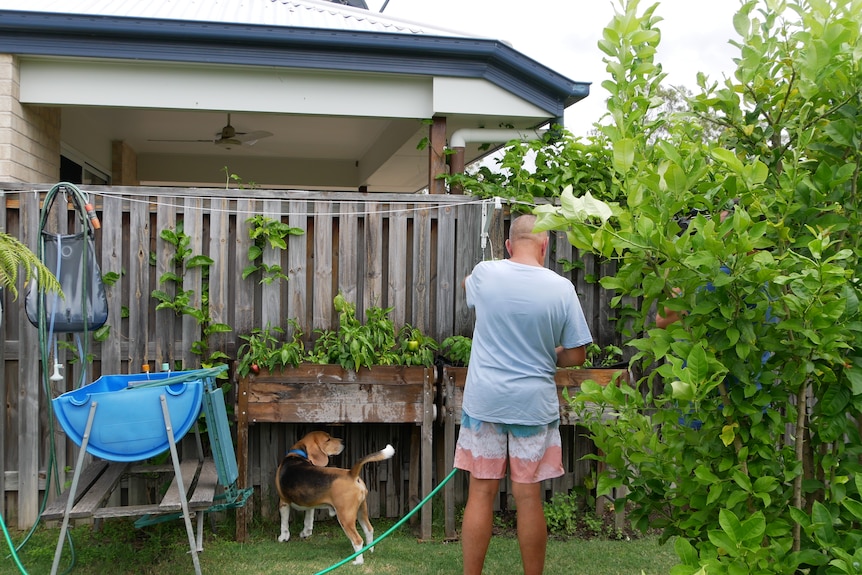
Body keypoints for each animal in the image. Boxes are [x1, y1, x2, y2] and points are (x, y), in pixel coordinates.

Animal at [276, 430, 394, 564]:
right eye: (328, 439)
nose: (343, 441)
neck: (298, 454)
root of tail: (351, 474)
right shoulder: (311, 504)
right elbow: (308, 520)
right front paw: (305, 533)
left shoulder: (283, 502)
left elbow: (284, 522)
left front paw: (283, 537)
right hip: (361, 510)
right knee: (369, 530)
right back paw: (370, 550)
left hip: (345, 517)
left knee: (357, 540)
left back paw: (358, 561)